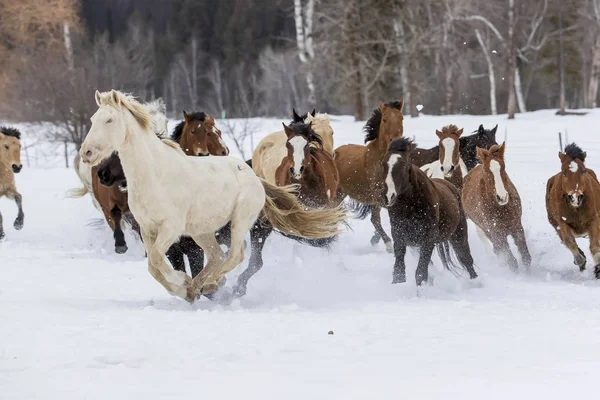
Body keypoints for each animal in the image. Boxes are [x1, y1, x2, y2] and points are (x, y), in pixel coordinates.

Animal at [79, 89, 344, 302]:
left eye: (109, 119)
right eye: (93, 119)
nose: (87, 153)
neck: (155, 173)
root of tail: (254, 176)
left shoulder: (171, 229)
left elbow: (156, 260)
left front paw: (182, 283)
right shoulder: (148, 229)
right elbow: (153, 266)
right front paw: (184, 289)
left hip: (240, 223)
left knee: (235, 256)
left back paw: (209, 285)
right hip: (202, 231)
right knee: (217, 256)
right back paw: (200, 286)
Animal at [332, 100, 404, 252]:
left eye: (401, 118)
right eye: (384, 119)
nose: (396, 141)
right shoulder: (377, 196)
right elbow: (376, 220)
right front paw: (389, 245)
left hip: (342, 194)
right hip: (336, 194)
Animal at [462, 142, 532, 270]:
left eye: (503, 167)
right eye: (487, 171)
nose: (502, 197)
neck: (502, 209)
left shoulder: (517, 226)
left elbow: (526, 257)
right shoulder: (497, 234)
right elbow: (512, 262)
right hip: (488, 232)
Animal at [548, 143, 600, 278]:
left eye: (583, 171)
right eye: (564, 172)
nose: (575, 197)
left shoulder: (593, 221)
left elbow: (595, 246)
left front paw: (598, 269)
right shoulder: (562, 223)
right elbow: (569, 241)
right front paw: (581, 260)